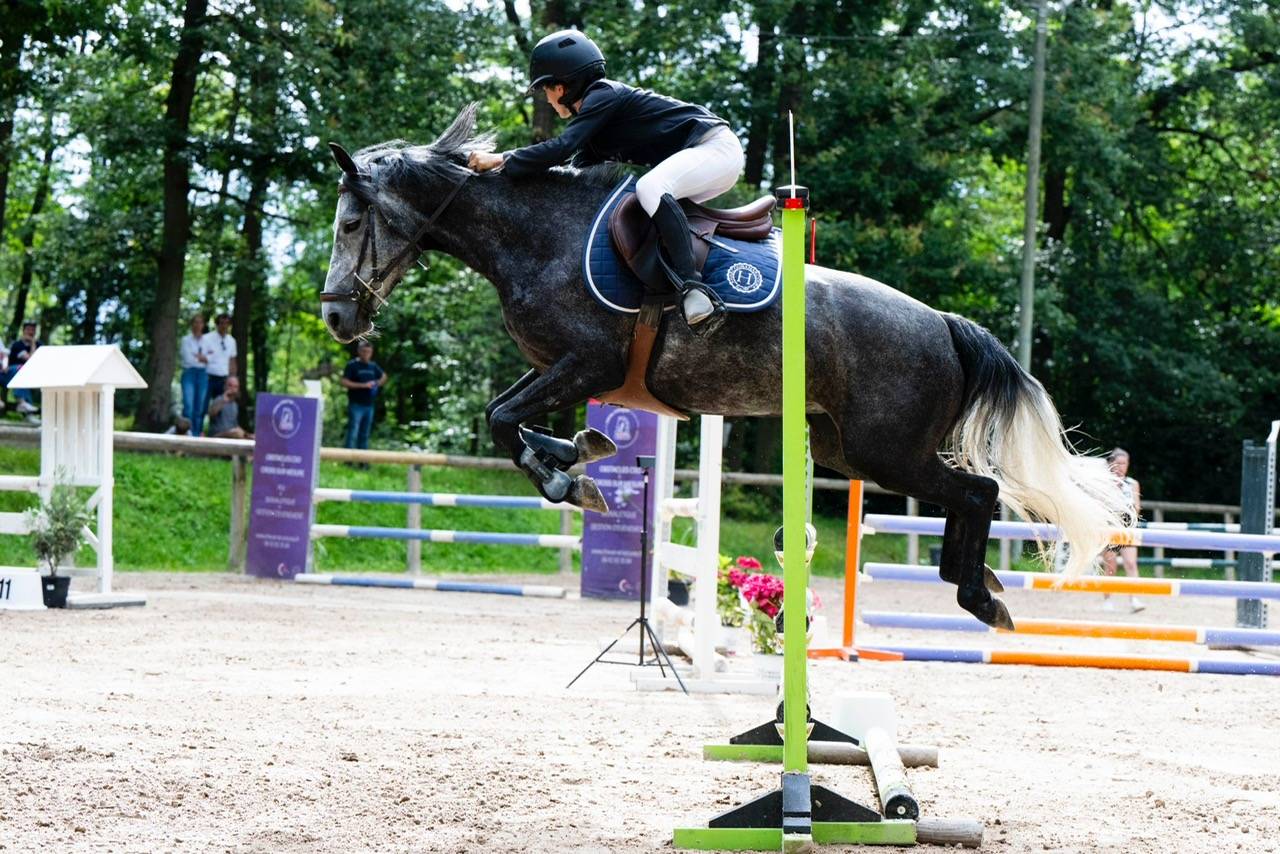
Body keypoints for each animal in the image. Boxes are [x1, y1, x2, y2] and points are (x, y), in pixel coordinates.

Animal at [320, 104, 1131, 630]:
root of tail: (944, 325)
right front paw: (578, 458)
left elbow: (503, 418)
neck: (537, 235)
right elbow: (506, 419)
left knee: (978, 489)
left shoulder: (588, 362)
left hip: (886, 450)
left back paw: (980, 595)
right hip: (846, 447)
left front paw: (567, 477)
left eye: (353, 223)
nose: (335, 318)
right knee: (968, 494)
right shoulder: (568, 367)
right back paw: (980, 580)